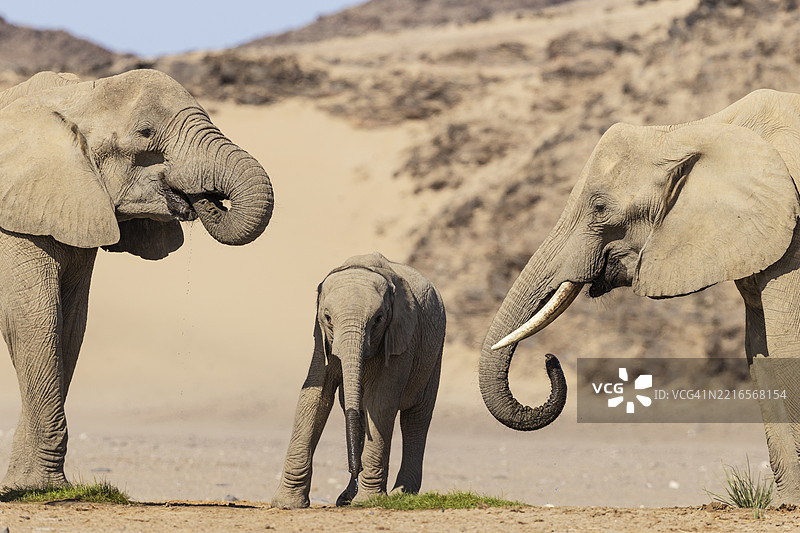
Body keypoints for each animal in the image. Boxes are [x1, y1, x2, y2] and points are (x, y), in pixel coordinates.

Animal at [0, 69, 273, 491]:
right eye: (146, 134)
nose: (201, 199)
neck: (73, 97)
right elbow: (34, 322)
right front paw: (39, 487)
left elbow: (68, 327)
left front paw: (26, 484)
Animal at [272, 252, 445, 509]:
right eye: (328, 317)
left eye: (379, 319)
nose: (355, 470)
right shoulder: (321, 337)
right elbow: (315, 397)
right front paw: (287, 504)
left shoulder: (402, 336)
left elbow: (381, 402)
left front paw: (368, 501)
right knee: (356, 412)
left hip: (435, 352)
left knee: (416, 418)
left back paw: (401, 494)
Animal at [478, 88, 800, 502]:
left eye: (599, 208)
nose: (550, 358)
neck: (698, 130)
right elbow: (760, 349)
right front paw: (787, 504)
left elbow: (788, 344)